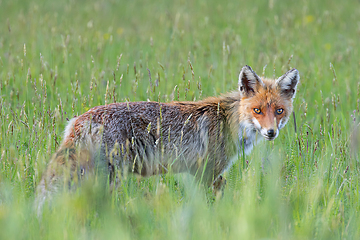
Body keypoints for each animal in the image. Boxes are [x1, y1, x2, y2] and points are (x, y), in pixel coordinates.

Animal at [36, 64, 300, 209]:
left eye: (279, 111)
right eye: (257, 110)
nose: (271, 132)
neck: (229, 121)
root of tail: (81, 119)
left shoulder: (200, 174)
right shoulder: (207, 172)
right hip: (107, 176)